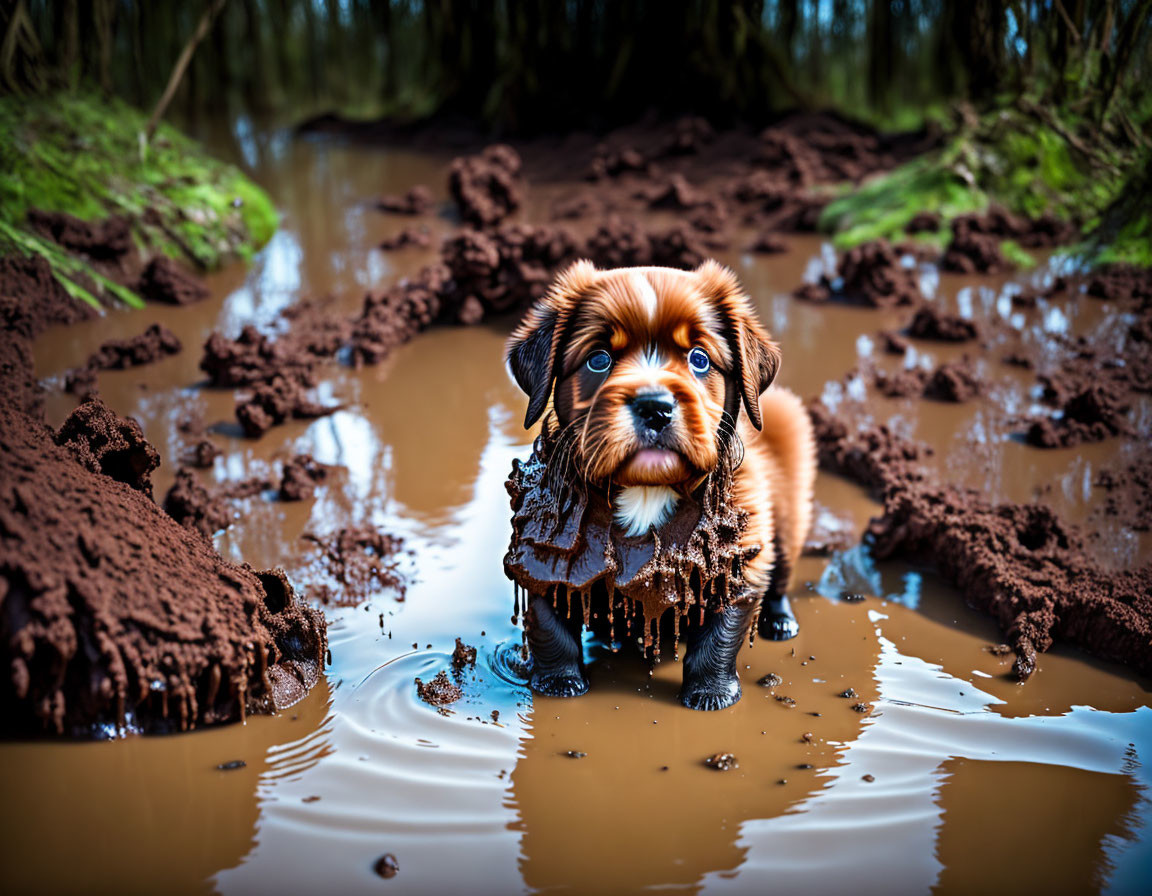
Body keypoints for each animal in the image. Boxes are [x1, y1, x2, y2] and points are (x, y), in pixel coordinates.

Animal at [506, 260, 820, 714]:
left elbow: (720, 633)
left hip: (791, 512)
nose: (655, 407)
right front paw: (558, 683)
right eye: (599, 359)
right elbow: (550, 622)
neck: (646, 490)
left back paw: (779, 621)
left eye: (699, 358)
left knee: (781, 573)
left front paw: (710, 693)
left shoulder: (738, 556)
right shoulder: (541, 553)